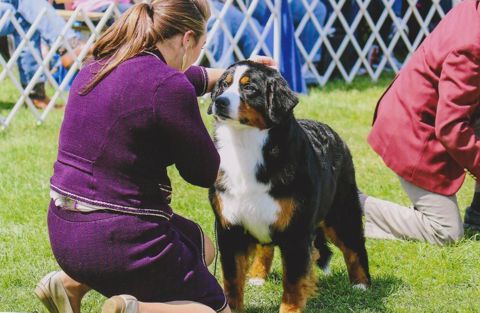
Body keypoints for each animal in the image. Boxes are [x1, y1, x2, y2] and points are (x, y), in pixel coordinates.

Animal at [207, 59, 372, 310]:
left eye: (249, 88)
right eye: (224, 85)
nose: (220, 101)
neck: (245, 146)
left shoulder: (296, 231)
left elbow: (293, 283)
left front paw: (290, 308)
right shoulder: (229, 228)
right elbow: (232, 281)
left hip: (341, 211)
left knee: (354, 246)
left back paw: (361, 285)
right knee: (267, 247)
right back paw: (257, 276)